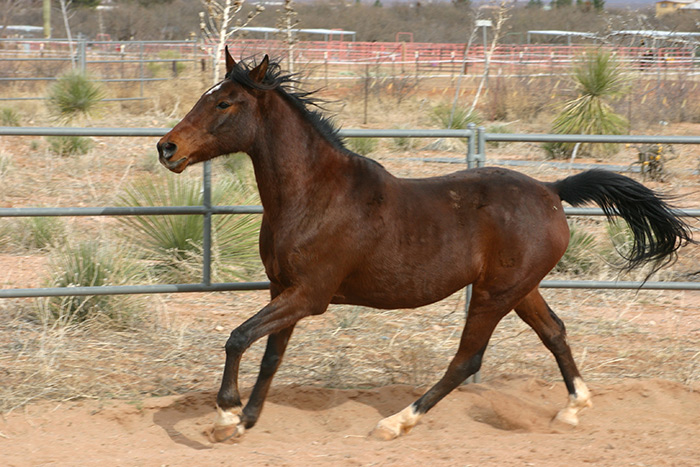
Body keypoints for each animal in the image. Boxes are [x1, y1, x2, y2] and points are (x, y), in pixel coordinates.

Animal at [154, 49, 696, 444]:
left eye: (224, 103)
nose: (167, 148)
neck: (314, 194)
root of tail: (550, 189)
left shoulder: (309, 296)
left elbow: (238, 337)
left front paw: (225, 415)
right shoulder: (281, 290)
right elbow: (269, 356)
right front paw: (245, 421)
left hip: (494, 295)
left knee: (468, 359)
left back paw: (396, 422)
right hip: (519, 289)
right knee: (555, 333)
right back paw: (573, 410)